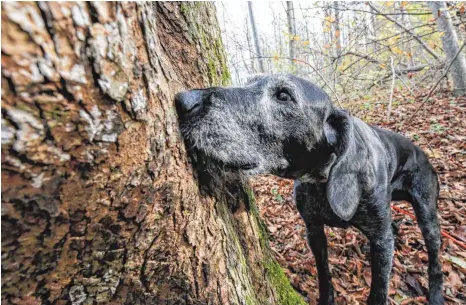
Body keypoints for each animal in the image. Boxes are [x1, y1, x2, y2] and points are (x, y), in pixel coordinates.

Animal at [175, 73, 444, 304]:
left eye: (283, 95)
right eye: (249, 81)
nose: (184, 100)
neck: (324, 177)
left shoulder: (381, 239)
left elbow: (378, 291)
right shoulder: (314, 230)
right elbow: (324, 275)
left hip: (426, 214)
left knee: (435, 257)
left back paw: (436, 293)